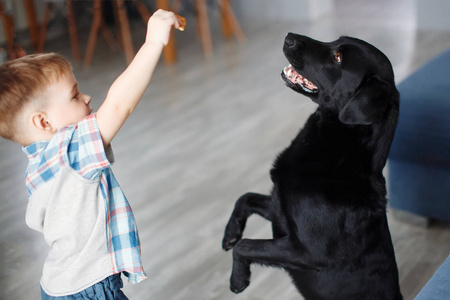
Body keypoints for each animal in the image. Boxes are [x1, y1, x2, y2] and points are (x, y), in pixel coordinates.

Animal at [223, 33, 402, 300]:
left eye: (337, 57)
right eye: (336, 41)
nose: (289, 36)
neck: (340, 160)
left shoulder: (305, 252)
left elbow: (246, 246)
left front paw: (238, 278)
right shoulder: (279, 209)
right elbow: (244, 198)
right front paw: (230, 233)